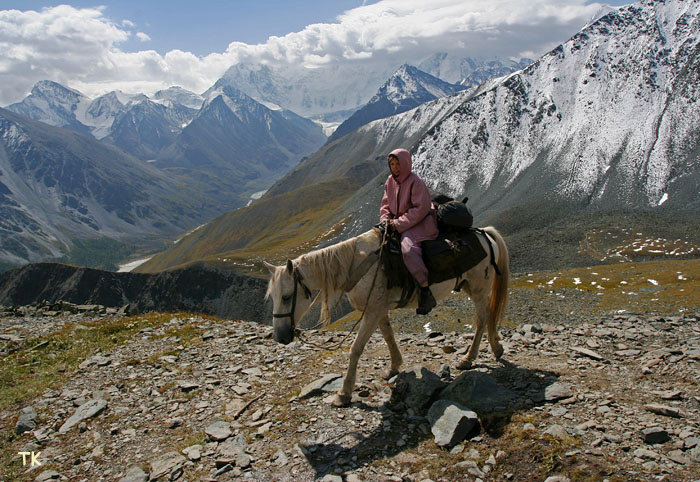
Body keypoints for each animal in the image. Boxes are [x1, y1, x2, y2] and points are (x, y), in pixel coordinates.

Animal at [262, 226, 508, 406]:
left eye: (286, 296)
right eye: (271, 297)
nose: (280, 337)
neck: (356, 265)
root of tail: (484, 234)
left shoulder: (371, 311)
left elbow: (356, 349)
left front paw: (344, 393)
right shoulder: (379, 309)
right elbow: (389, 335)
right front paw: (394, 367)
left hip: (478, 288)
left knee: (482, 318)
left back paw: (468, 359)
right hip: (468, 286)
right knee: (488, 315)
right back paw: (496, 348)